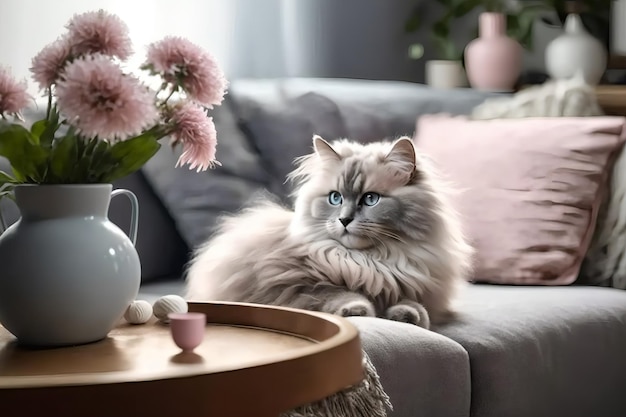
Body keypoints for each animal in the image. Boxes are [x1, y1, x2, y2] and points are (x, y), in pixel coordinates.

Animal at [183, 135, 470, 326]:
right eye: (335, 198)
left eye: (370, 199)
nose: (344, 220)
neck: (372, 261)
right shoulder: (293, 287)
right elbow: (336, 294)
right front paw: (358, 309)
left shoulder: (417, 287)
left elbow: (414, 304)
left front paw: (406, 315)